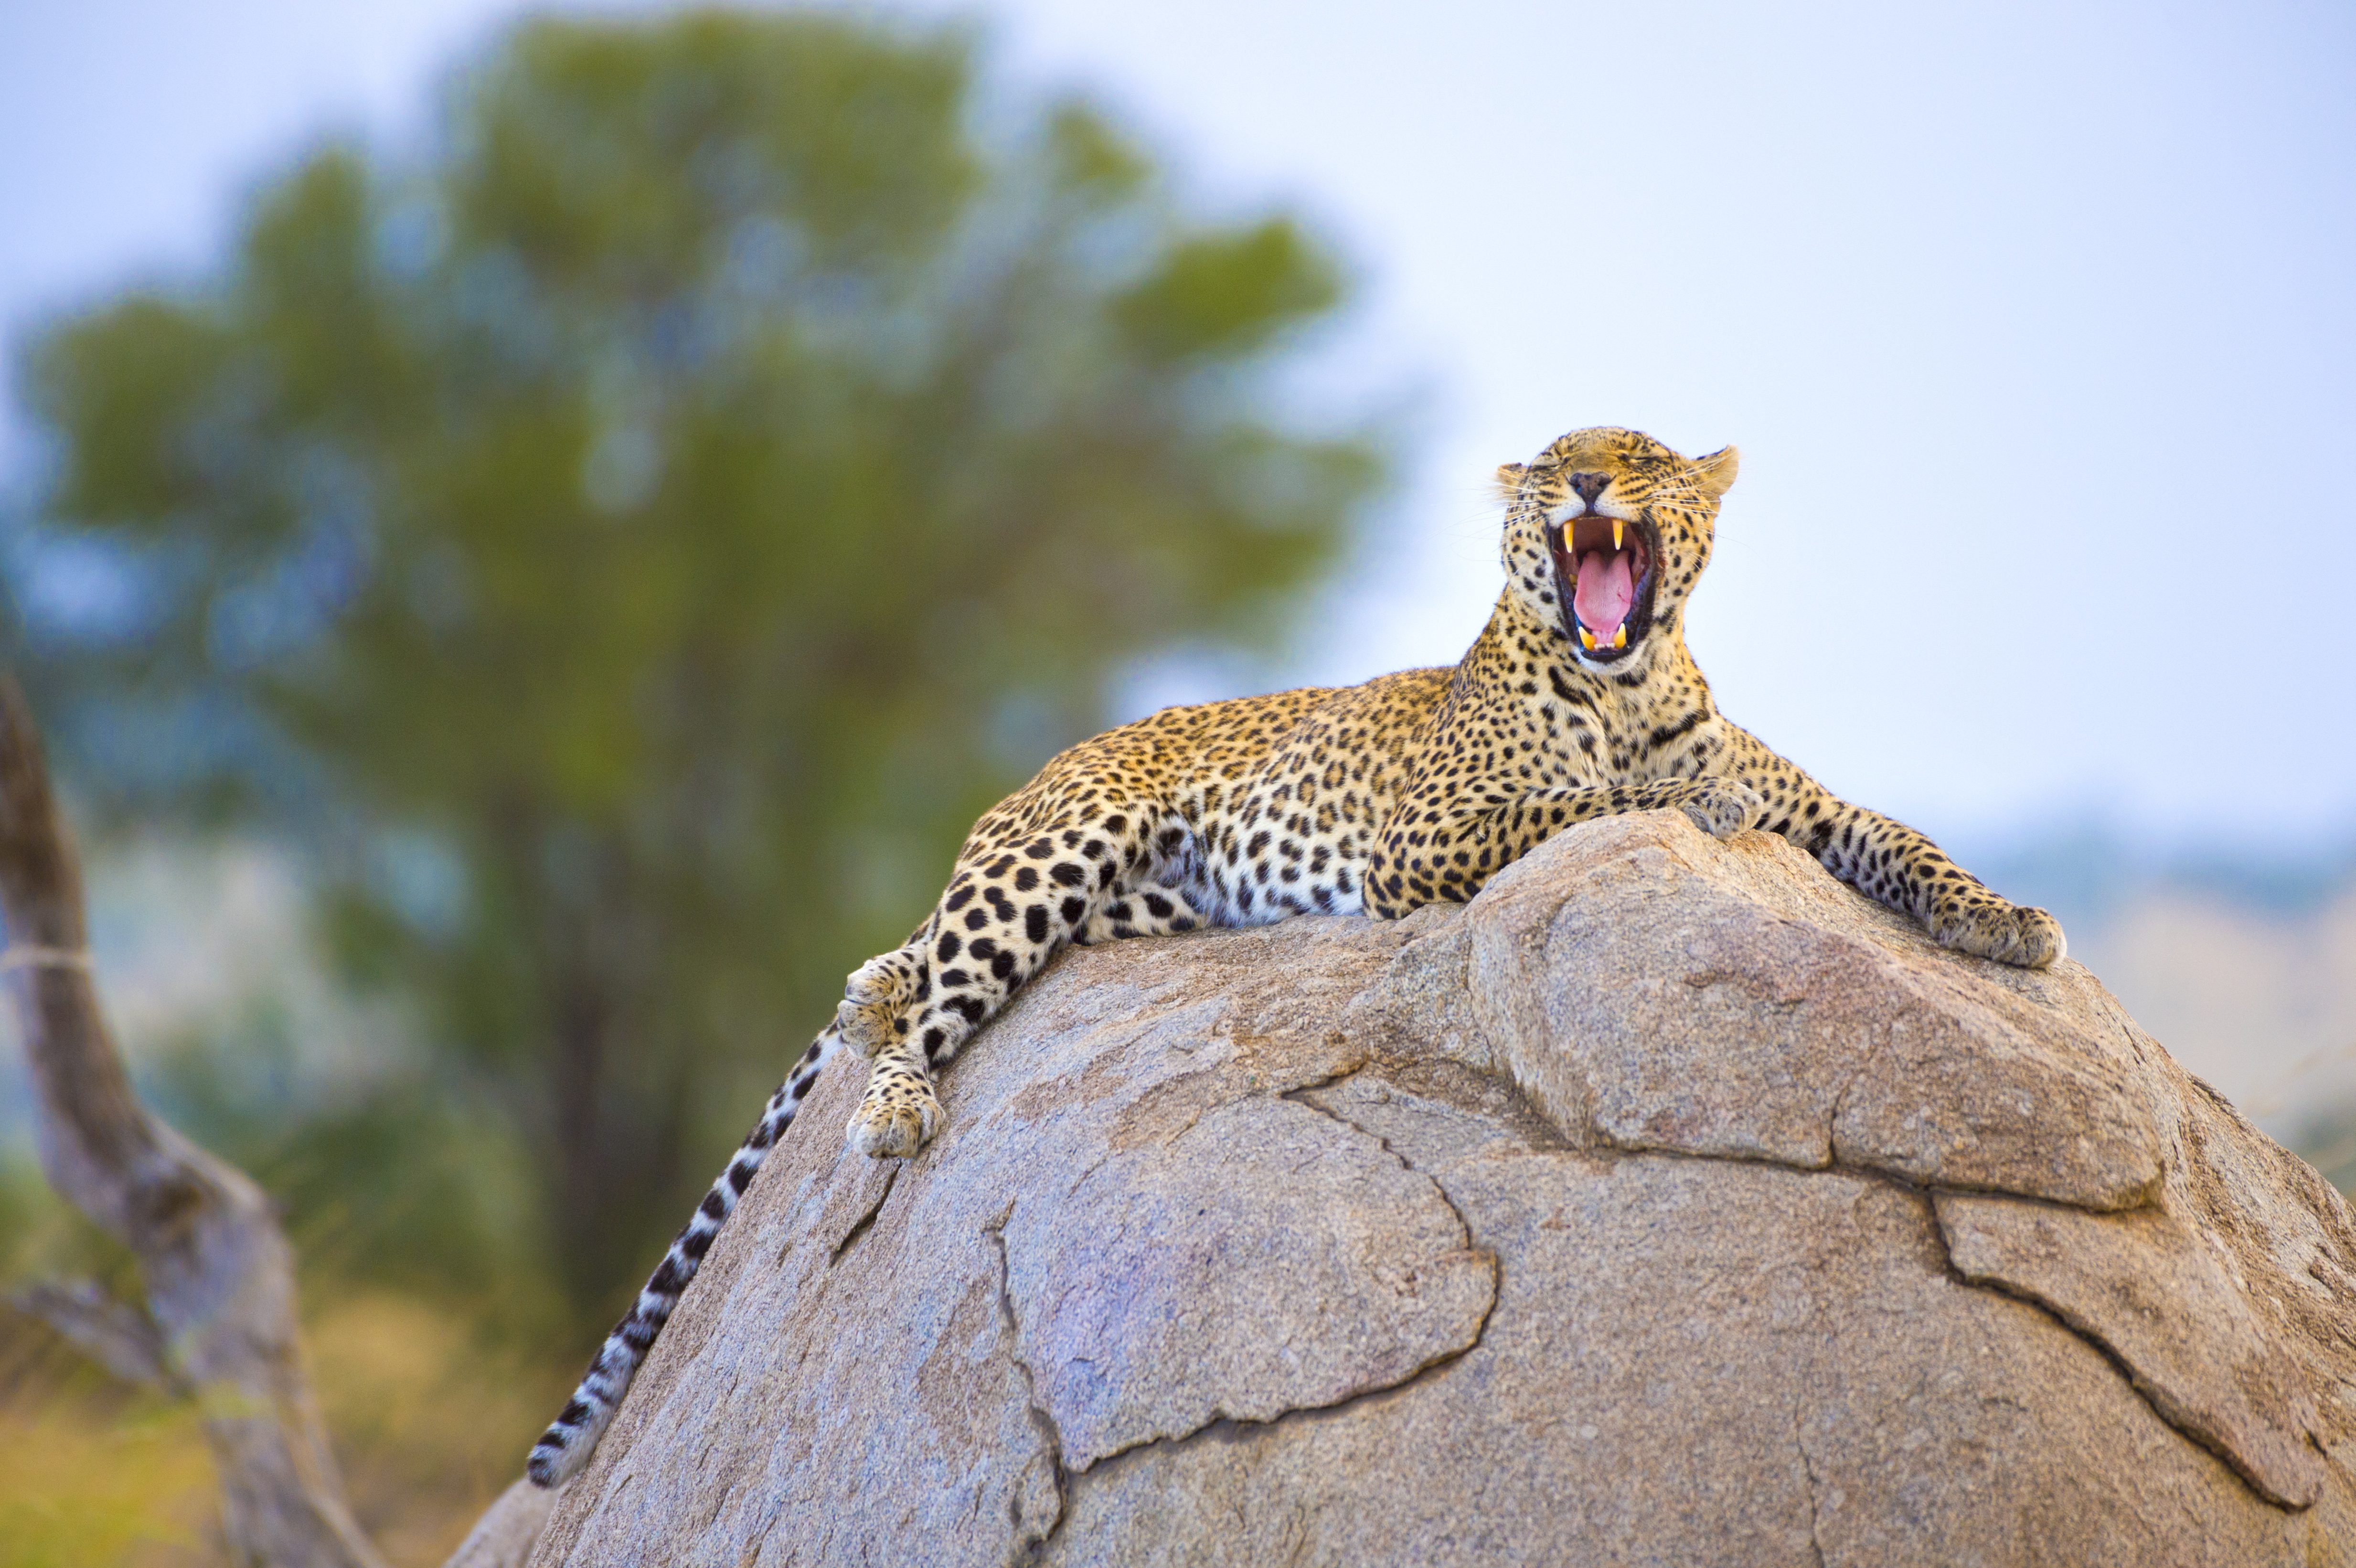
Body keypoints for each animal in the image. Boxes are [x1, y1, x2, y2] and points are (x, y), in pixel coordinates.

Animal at [525, 425, 2063, 1487]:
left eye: (1631, 462)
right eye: (1549, 472)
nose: (1578, 488)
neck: (1624, 679)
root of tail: (1044, 765)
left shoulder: (1816, 807)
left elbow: (1892, 835)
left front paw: (2004, 923)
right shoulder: (1427, 838)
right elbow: (1586, 802)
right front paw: (1681, 807)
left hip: (1135, 905)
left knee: (900, 966)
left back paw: (872, 1000)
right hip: (1060, 853)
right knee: (929, 997)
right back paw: (893, 1098)